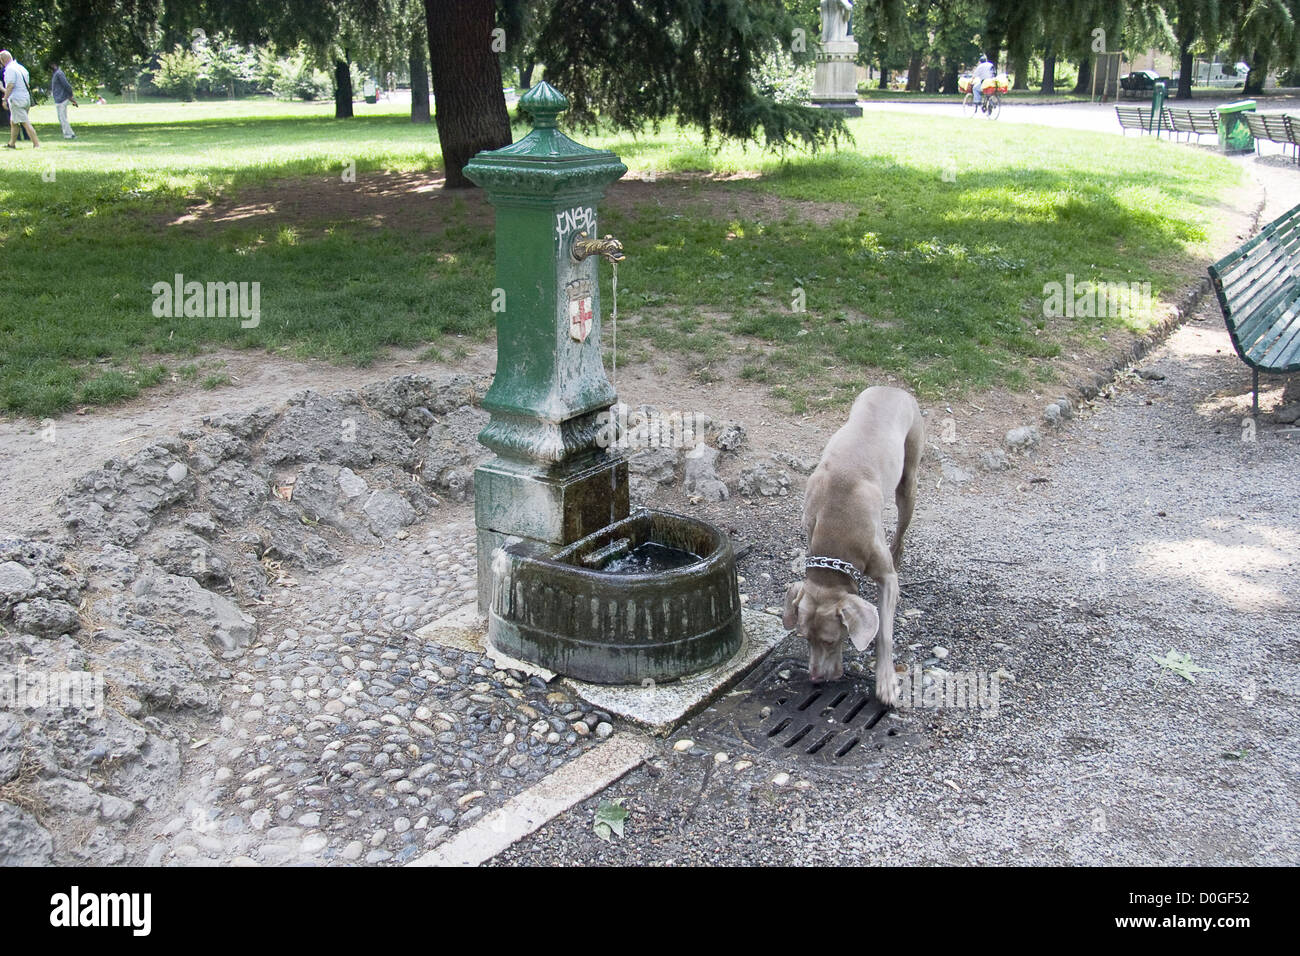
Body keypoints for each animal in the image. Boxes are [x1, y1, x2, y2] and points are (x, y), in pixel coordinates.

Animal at [780, 385, 925, 707]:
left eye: (832, 640)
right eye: (805, 638)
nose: (815, 678)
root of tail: (892, 386)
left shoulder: (885, 576)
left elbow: (884, 632)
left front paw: (885, 683)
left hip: (908, 479)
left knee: (901, 529)